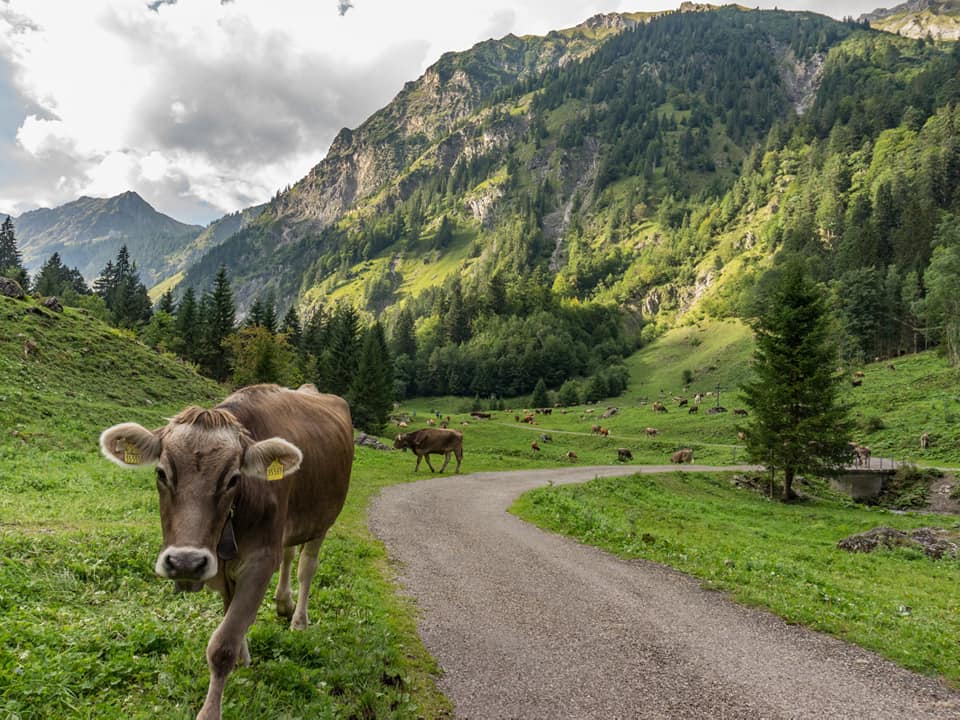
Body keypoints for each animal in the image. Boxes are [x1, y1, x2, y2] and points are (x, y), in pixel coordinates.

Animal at [99, 382, 352, 720]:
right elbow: (230, 612)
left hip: (323, 520)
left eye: (233, 479)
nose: (186, 562)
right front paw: (244, 655)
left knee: (306, 567)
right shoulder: (220, 565)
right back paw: (283, 603)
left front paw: (210, 710)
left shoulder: (260, 559)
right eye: (161, 473)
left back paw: (299, 620)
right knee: (288, 555)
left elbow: (222, 644)